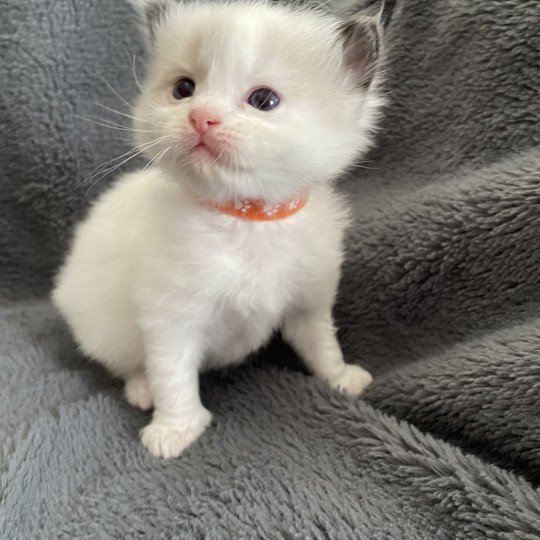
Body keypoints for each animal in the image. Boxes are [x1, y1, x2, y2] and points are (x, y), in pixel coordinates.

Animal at [52, 0, 386, 458]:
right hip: (101, 326)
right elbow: (172, 375)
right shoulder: (169, 316)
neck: (247, 217)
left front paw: (340, 377)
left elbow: (321, 343)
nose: (201, 117)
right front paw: (175, 430)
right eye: (183, 89)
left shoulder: (308, 300)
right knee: (125, 364)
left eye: (264, 100)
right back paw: (141, 389)